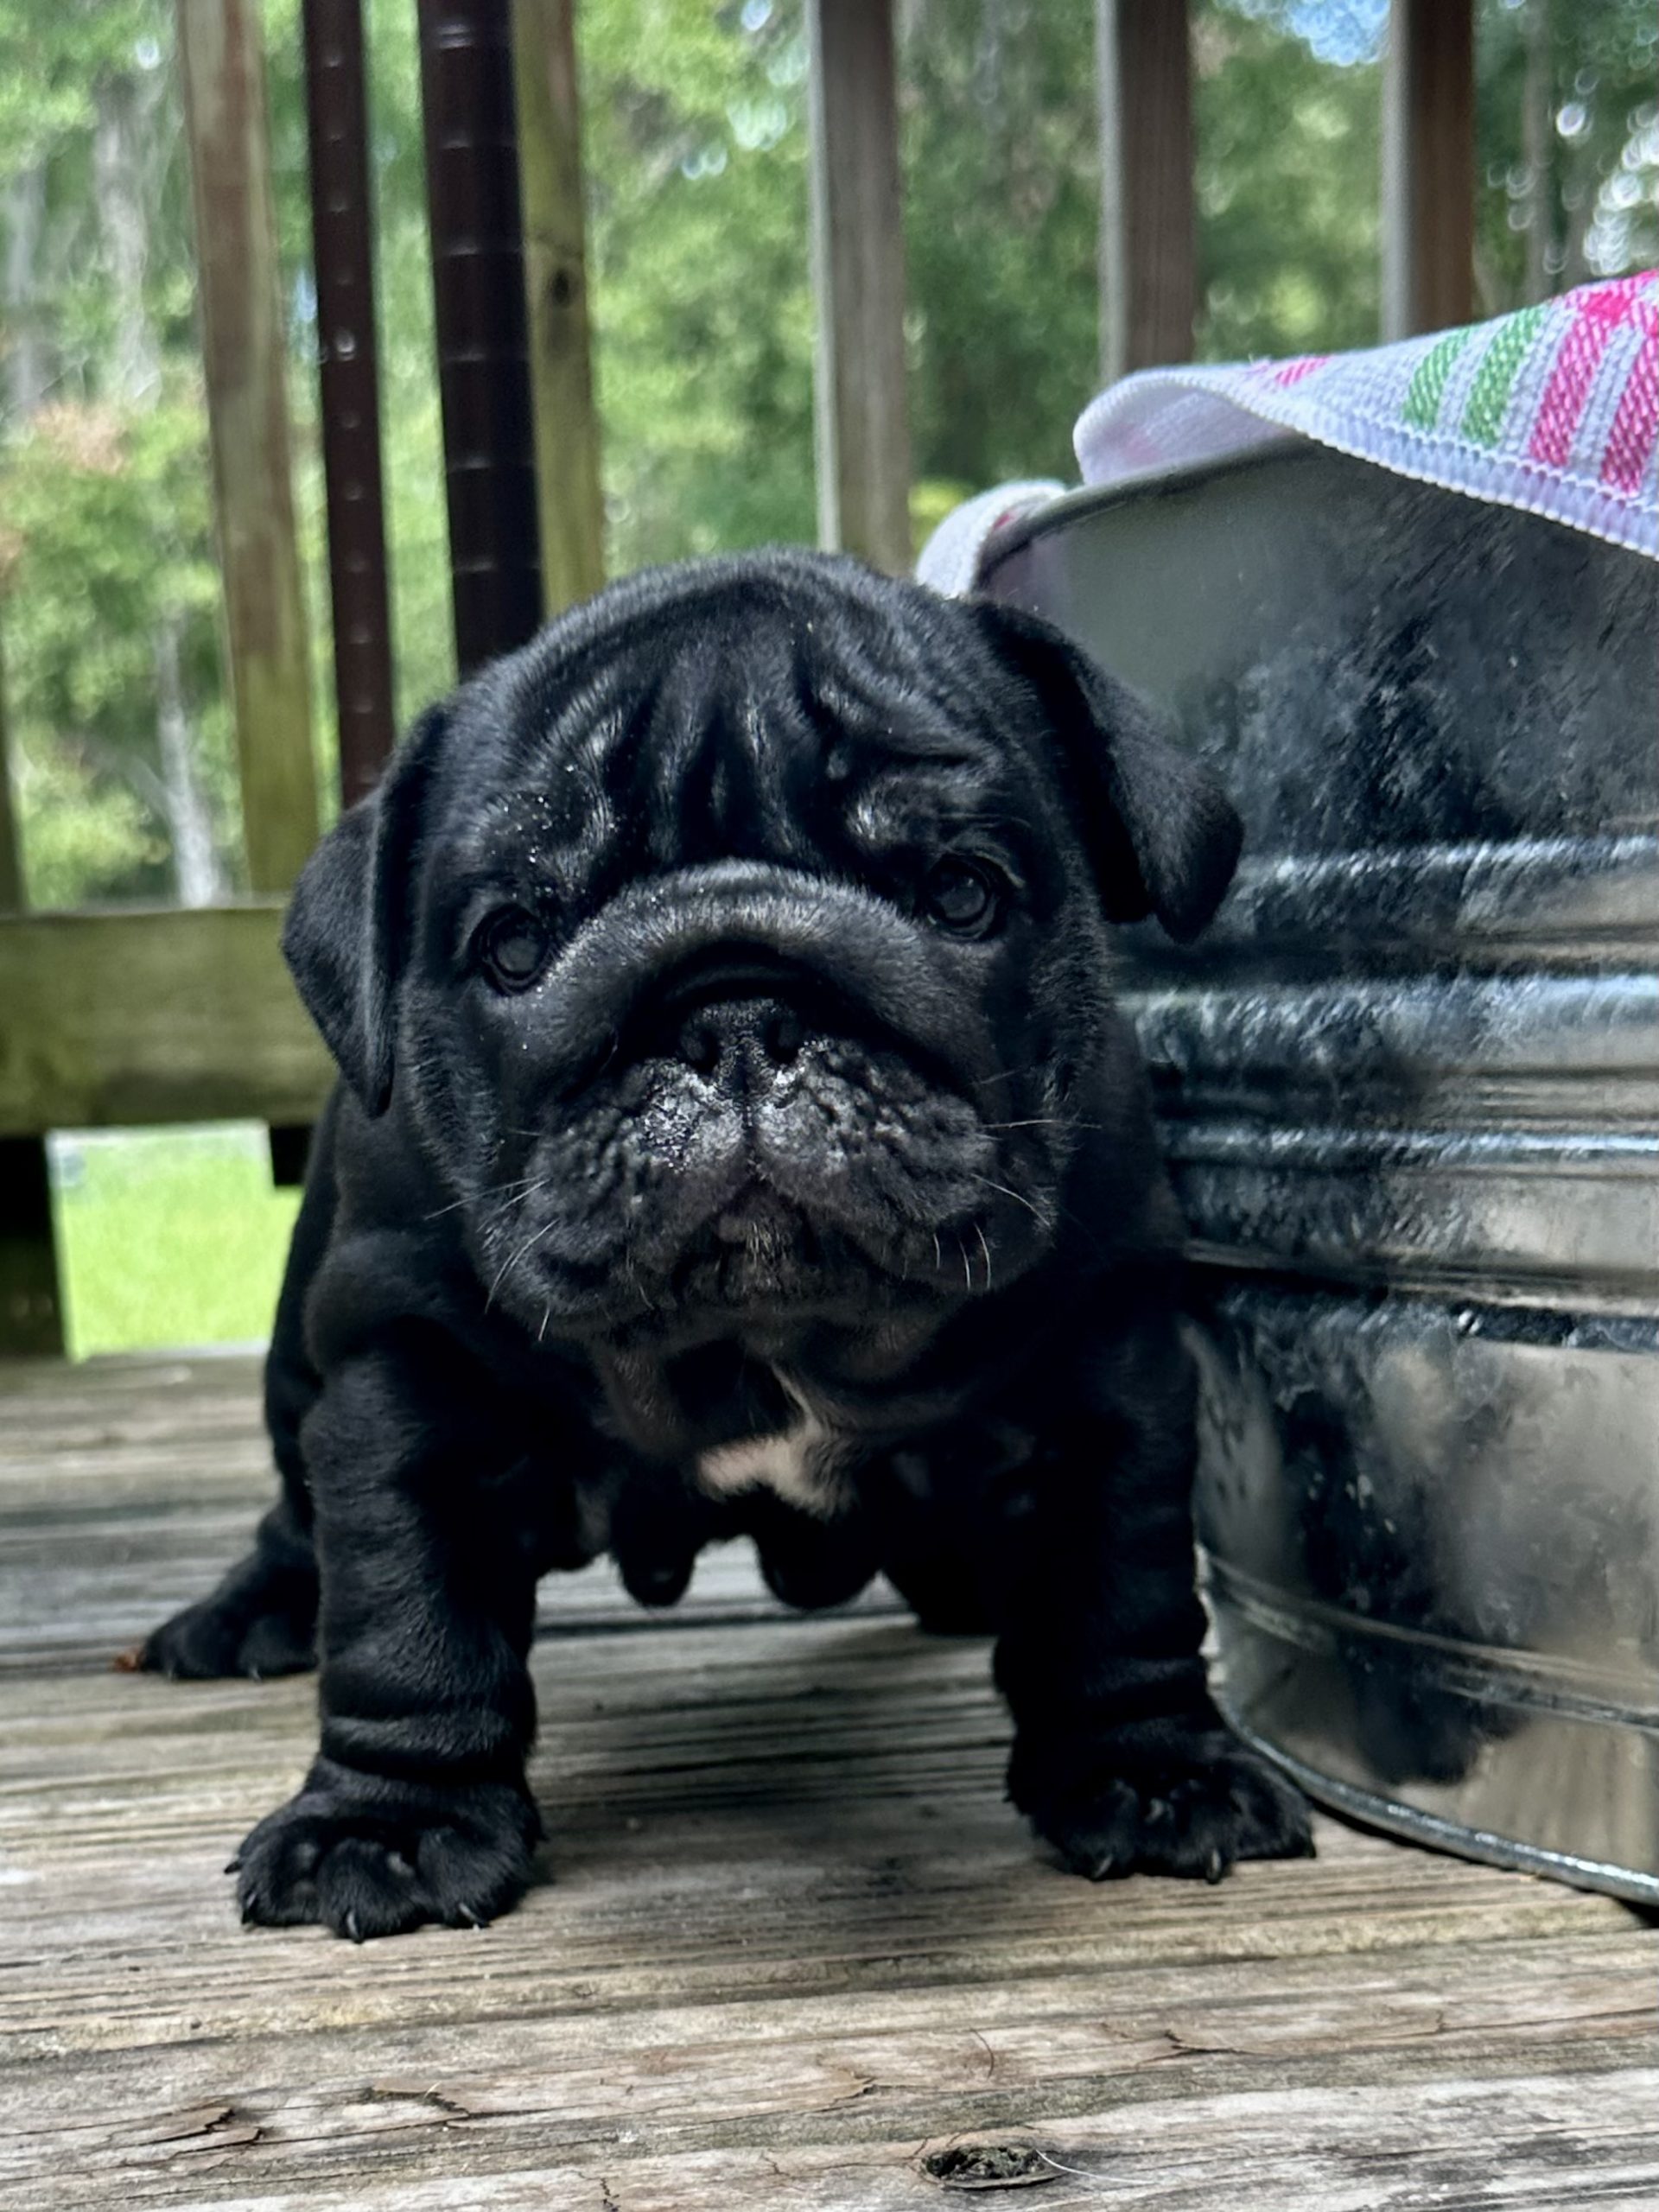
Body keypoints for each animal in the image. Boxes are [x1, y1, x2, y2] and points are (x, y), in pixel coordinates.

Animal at [137, 548, 1312, 1938]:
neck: (761, 1341)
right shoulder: (405, 1377)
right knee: (295, 1505)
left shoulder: (1103, 1366)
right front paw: (388, 1823)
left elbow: (1117, 1587)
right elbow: (407, 1614)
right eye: (516, 945)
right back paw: (252, 1613)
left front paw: (1154, 1769)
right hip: (296, 1355)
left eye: (962, 893)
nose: (737, 1014)